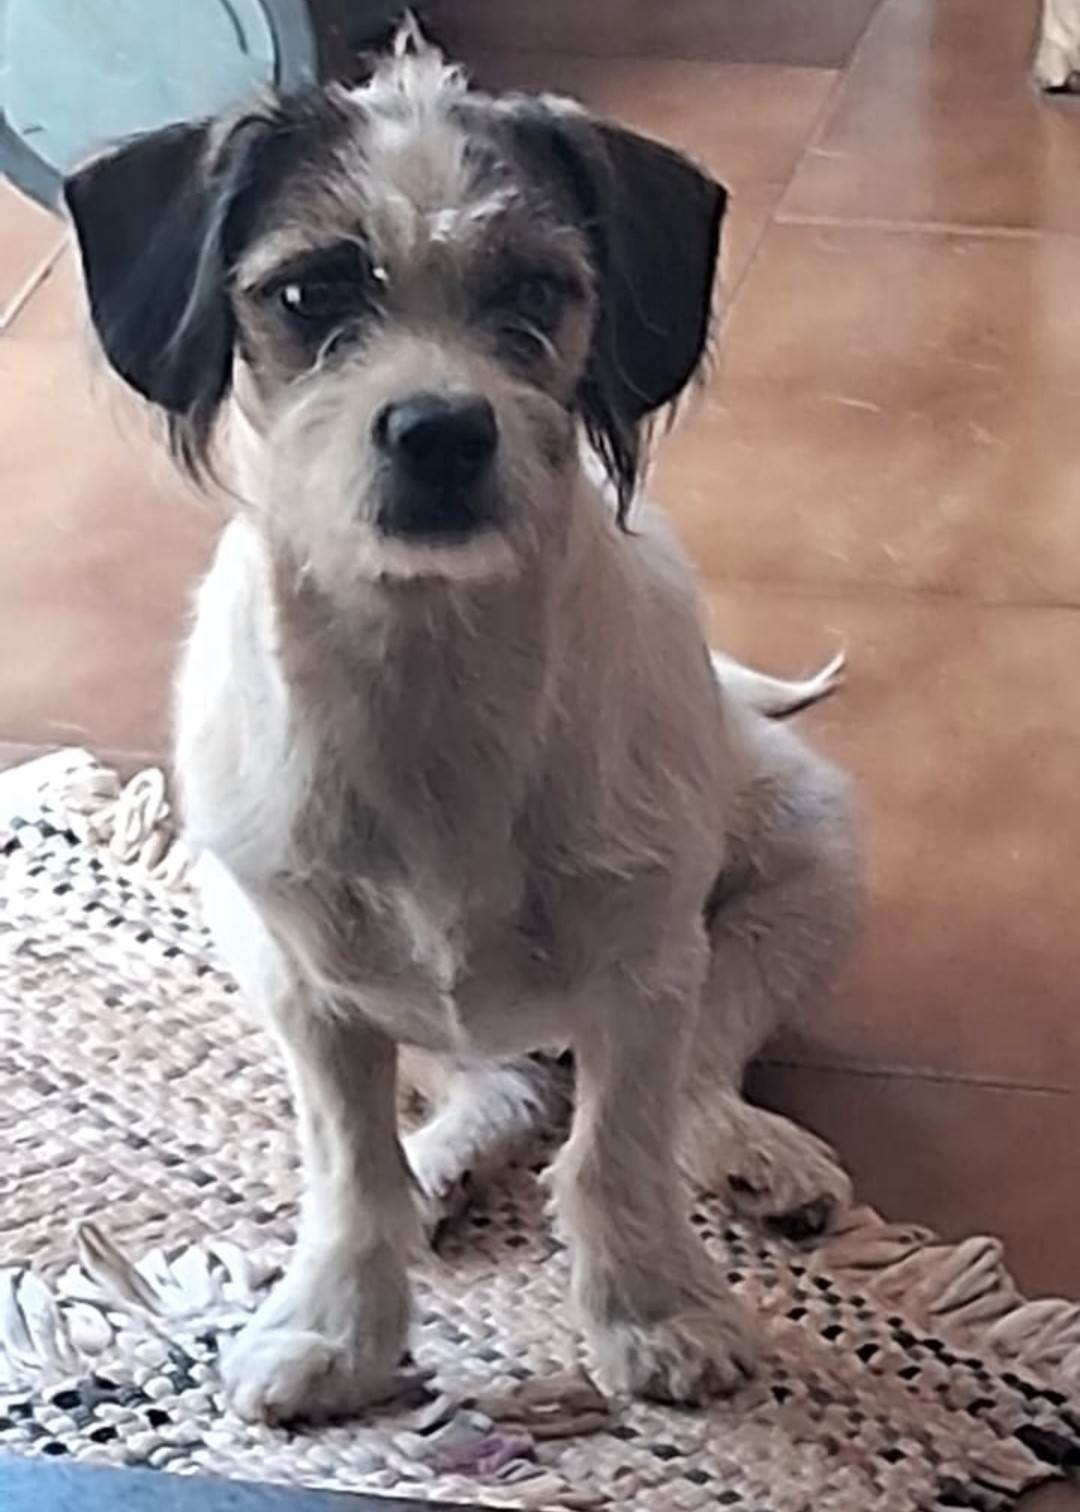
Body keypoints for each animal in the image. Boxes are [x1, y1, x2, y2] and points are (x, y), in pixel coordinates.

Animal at [64, 26, 862, 1424]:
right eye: (311, 293)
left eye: (538, 290)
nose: (438, 429)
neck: (433, 670)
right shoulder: (308, 993)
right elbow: (349, 1170)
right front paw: (336, 1325)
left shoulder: (643, 974)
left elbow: (619, 1149)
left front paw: (653, 1311)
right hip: (256, 932)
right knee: (487, 1083)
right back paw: (442, 1159)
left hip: (799, 866)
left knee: (695, 1074)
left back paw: (752, 1149)